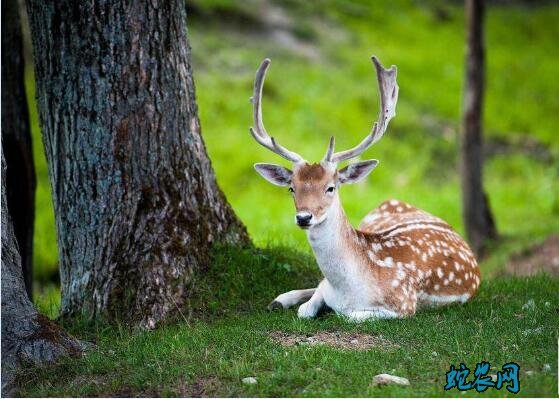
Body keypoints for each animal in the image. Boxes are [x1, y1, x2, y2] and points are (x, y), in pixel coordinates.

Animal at [249, 57, 482, 322]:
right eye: (291, 188)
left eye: (331, 187)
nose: (304, 217)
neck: (348, 289)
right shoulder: (326, 289)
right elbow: (306, 307)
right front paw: (292, 301)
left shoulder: (404, 304)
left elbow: (347, 315)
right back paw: (280, 299)